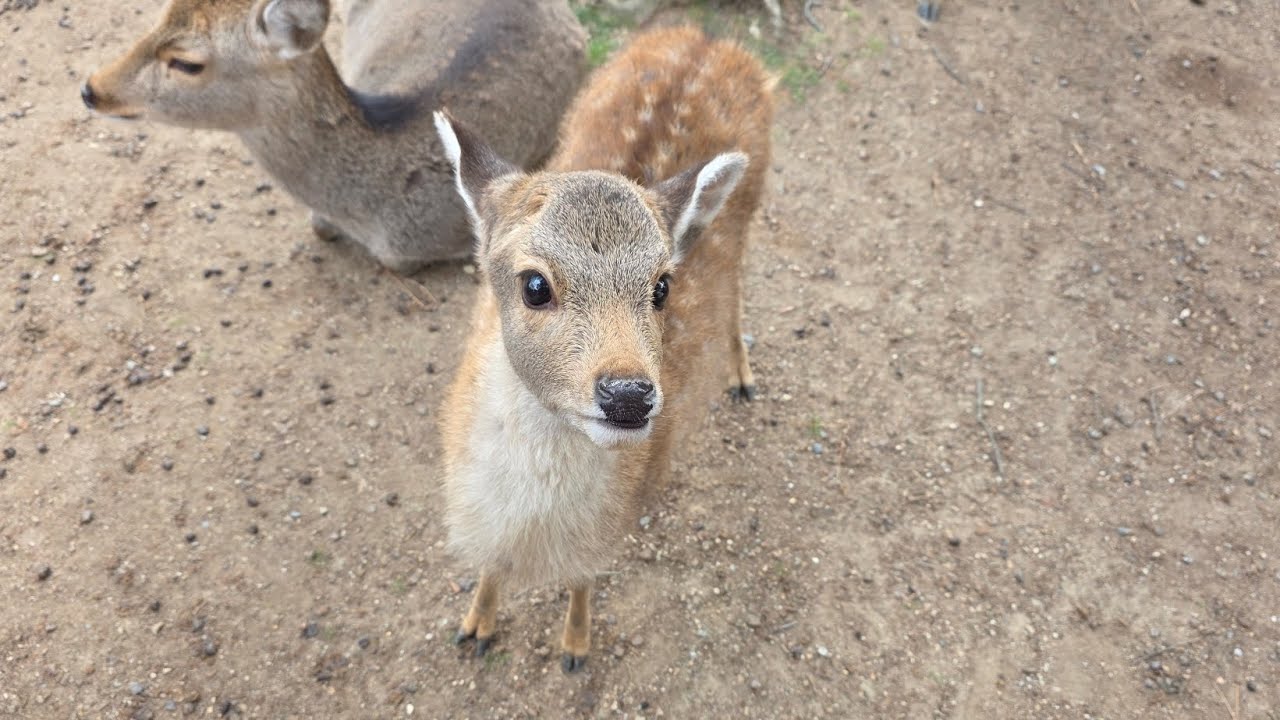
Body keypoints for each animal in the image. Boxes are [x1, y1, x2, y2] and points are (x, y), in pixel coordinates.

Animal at [432, 25, 773, 673]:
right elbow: (489, 570)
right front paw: (475, 625)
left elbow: (584, 578)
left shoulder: (616, 523)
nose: (628, 394)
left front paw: (575, 645)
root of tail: (708, 38)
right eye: (534, 284)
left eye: (662, 286)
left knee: (741, 285)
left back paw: (742, 375)